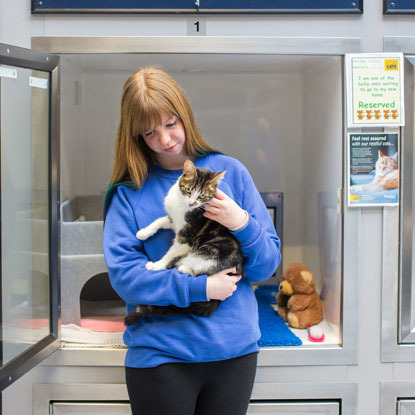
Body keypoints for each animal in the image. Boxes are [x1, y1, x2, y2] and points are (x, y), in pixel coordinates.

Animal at [125, 161, 245, 326]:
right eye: (188, 190)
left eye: (202, 196)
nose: (192, 203)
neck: (182, 206)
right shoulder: (174, 220)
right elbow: (161, 220)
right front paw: (144, 232)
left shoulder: (186, 237)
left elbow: (170, 253)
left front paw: (157, 265)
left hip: (214, 249)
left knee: (199, 269)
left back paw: (183, 267)